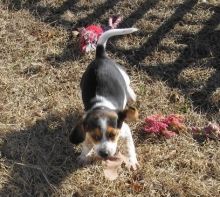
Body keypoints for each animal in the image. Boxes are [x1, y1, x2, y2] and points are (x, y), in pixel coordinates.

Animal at [70, 27, 139, 169]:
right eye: (95, 136)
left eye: (112, 135)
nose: (104, 154)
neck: (102, 106)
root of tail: (100, 56)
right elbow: (86, 145)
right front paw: (83, 156)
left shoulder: (125, 131)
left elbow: (130, 146)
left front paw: (132, 161)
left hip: (124, 75)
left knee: (127, 85)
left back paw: (130, 94)